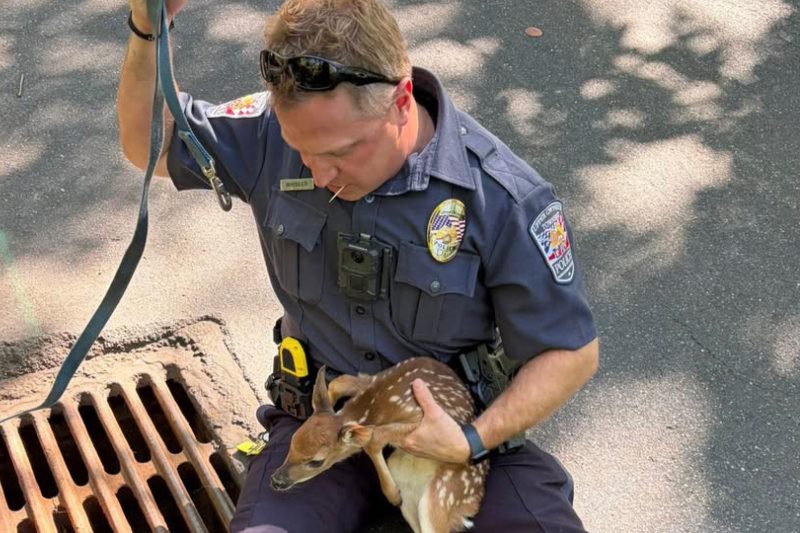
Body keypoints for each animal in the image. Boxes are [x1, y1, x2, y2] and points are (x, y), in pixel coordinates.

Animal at [270, 356, 489, 533]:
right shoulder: (368, 380)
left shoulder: (426, 420)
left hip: (445, 493)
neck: (374, 406)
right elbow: (339, 382)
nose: (276, 481)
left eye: (316, 461)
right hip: (409, 488)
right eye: (292, 442)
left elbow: (373, 438)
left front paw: (392, 496)